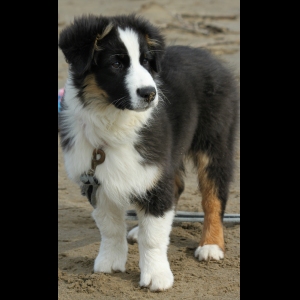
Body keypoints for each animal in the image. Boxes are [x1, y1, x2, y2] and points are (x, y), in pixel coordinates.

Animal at [58, 13, 239, 290]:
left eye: (145, 61)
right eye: (116, 63)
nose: (150, 93)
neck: (114, 120)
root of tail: (210, 57)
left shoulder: (153, 171)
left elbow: (153, 236)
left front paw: (157, 275)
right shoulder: (96, 181)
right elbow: (109, 226)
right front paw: (110, 261)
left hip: (214, 143)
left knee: (213, 197)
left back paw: (211, 245)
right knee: (176, 188)